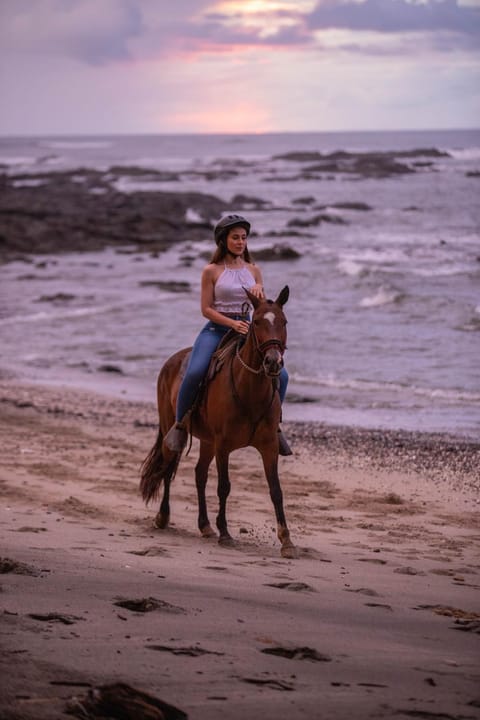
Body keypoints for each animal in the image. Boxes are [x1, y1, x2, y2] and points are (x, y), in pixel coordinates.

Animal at [140, 284, 296, 560]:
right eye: (256, 322)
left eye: (284, 322)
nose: (273, 362)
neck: (250, 390)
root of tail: (172, 361)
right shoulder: (224, 445)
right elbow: (224, 486)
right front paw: (225, 533)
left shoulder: (268, 446)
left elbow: (276, 490)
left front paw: (286, 540)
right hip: (173, 429)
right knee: (168, 470)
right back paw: (163, 517)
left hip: (207, 441)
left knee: (199, 474)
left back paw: (205, 526)